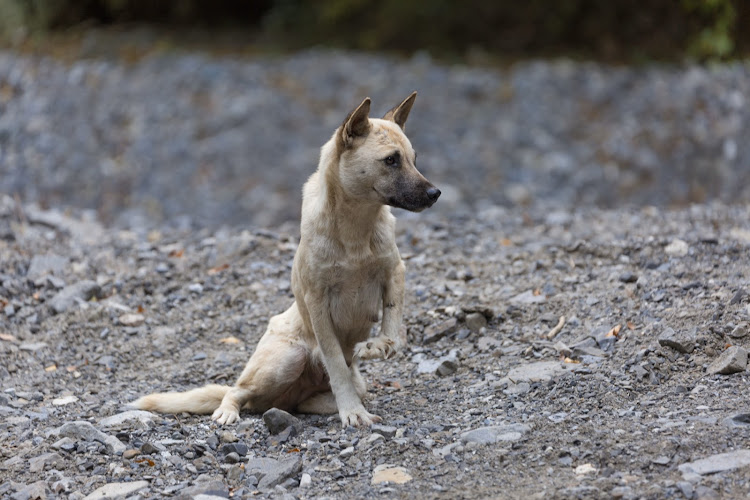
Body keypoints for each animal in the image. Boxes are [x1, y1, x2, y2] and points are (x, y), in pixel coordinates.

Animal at [134, 93, 440, 426]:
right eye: (391, 160)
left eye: (413, 159)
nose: (435, 193)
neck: (356, 229)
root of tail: (286, 397)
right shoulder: (318, 302)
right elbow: (336, 362)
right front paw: (352, 412)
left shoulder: (394, 272)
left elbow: (393, 330)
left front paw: (376, 347)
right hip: (285, 360)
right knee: (237, 391)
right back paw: (228, 412)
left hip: (327, 388)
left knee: (312, 397)